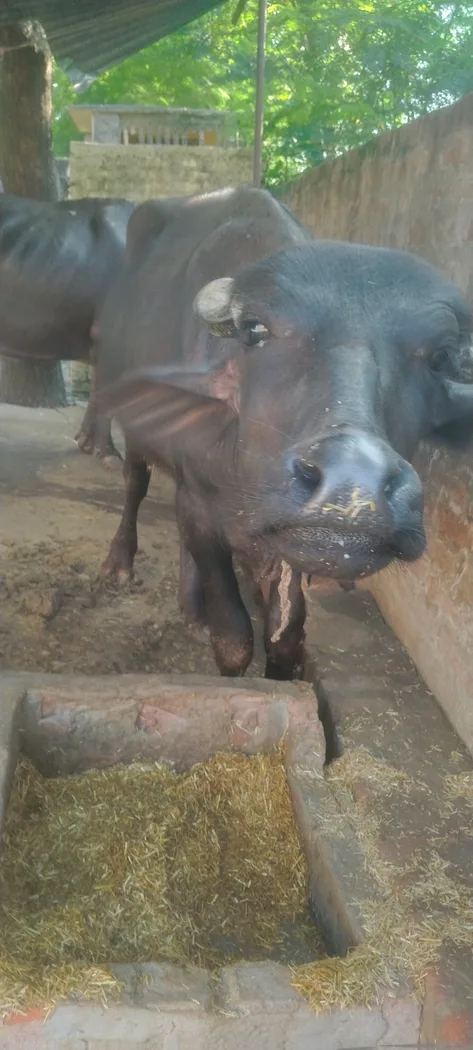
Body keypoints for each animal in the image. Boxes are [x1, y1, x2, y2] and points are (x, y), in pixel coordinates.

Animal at [98, 186, 473, 680]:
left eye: (440, 357)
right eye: (255, 330)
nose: (353, 488)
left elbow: (286, 635)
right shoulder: (199, 503)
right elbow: (234, 637)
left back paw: (192, 607)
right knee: (134, 483)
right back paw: (119, 564)